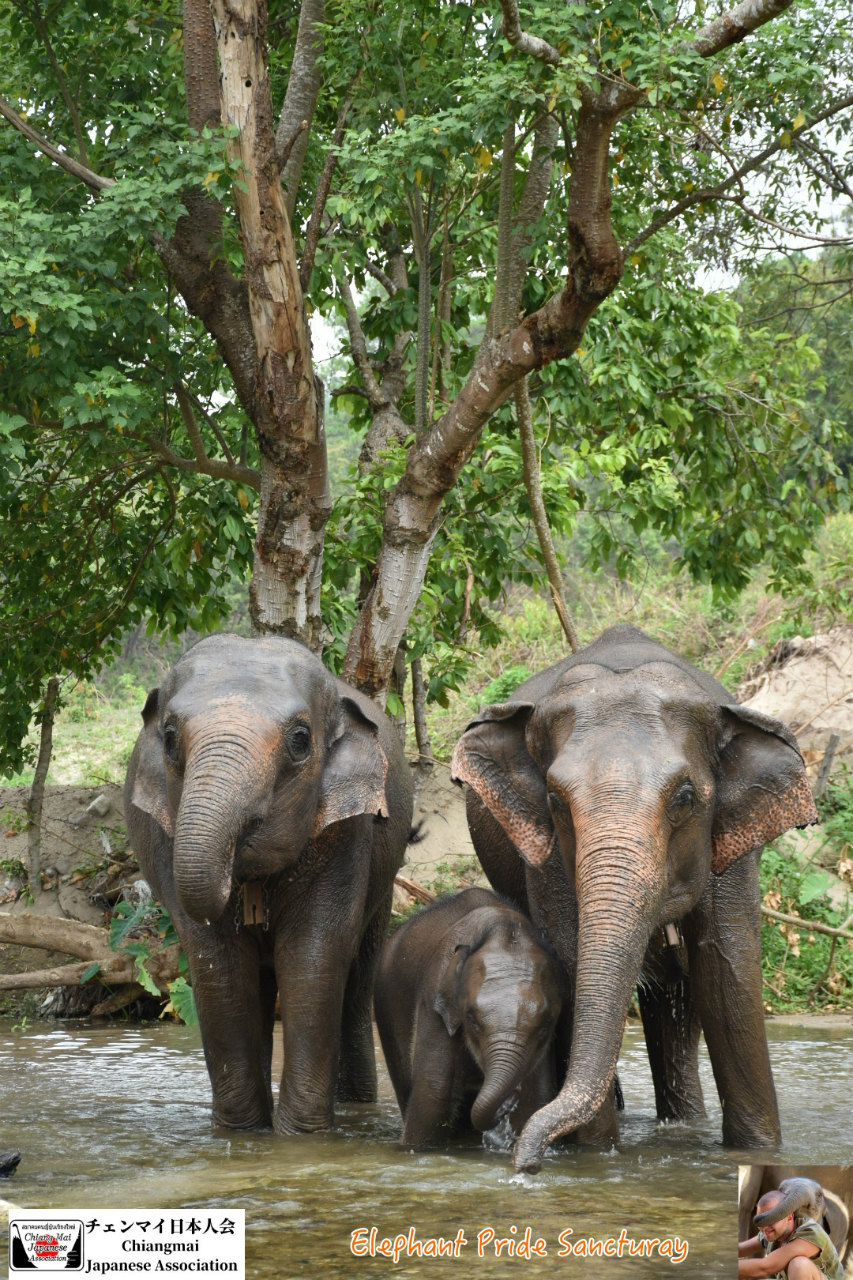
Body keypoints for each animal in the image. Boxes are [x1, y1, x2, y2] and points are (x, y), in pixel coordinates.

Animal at [125, 632, 413, 1134]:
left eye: (300, 740)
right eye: (170, 738)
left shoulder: (346, 831)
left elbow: (312, 952)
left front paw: (301, 1137)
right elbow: (218, 961)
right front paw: (241, 1135)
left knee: (358, 983)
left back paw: (357, 1107)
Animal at [374, 887, 565, 1147]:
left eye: (546, 1025)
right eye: (472, 1020)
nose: (508, 1102)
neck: (504, 927)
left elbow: (537, 1096)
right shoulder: (434, 997)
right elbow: (433, 1091)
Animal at [451, 624, 818, 1172]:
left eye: (685, 799)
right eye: (555, 801)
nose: (525, 1165)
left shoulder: (730, 850)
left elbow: (726, 974)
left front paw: (756, 1153)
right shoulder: (547, 857)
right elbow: (570, 958)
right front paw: (597, 1156)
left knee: (679, 1004)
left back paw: (684, 1125)